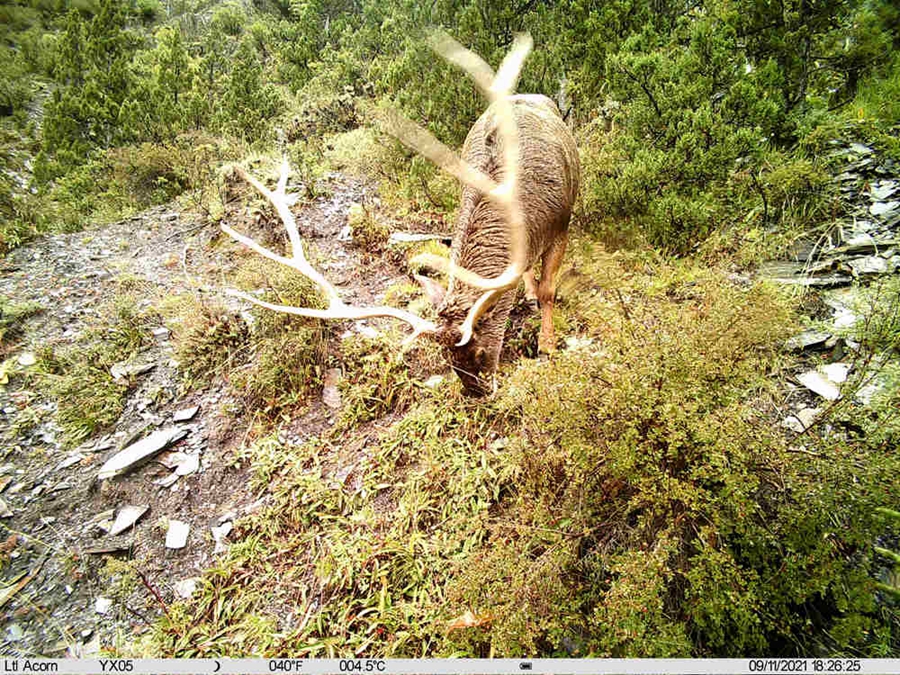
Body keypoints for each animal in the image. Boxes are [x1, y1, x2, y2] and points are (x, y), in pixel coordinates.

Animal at [221, 33, 580, 396]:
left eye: (479, 351)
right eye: (446, 358)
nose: (476, 394)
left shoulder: (562, 222)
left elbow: (549, 290)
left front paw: (547, 346)